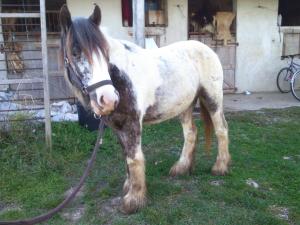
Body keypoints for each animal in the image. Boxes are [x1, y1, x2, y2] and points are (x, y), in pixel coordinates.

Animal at [59, 3, 231, 214]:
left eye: (105, 54)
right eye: (75, 53)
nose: (107, 99)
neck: (120, 77)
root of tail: (207, 49)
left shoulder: (132, 123)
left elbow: (134, 158)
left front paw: (134, 200)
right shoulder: (117, 125)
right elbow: (125, 155)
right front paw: (128, 187)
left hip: (212, 99)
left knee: (221, 129)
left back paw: (220, 167)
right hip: (185, 105)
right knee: (191, 133)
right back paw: (181, 168)